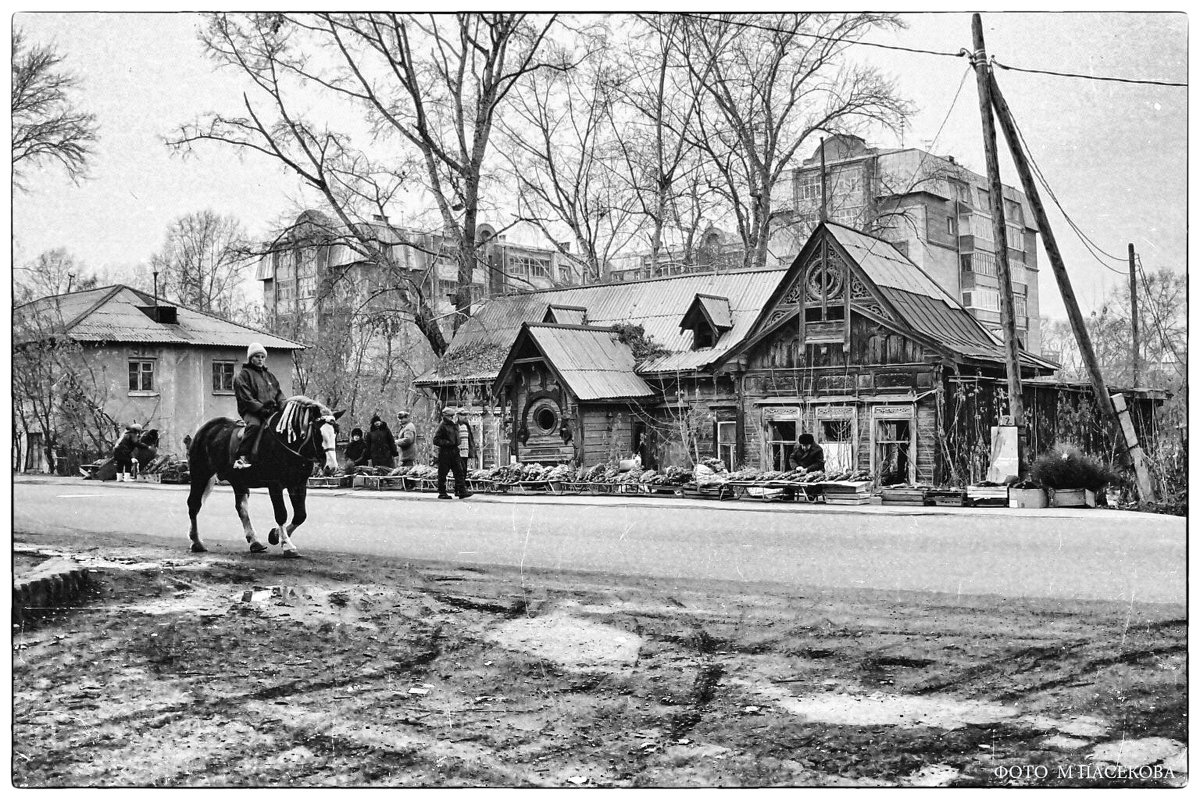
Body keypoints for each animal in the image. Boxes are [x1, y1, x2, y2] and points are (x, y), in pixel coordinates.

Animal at [184, 398, 343, 561]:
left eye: (336, 431)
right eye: (317, 432)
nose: (331, 467)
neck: (287, 444)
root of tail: (205, 430)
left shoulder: (298, 484)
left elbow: (300, 515)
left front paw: (276, 535)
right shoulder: (275, 485)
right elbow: (281, 514)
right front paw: (287, 545)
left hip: (237, 481)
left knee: (241, 508)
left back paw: (254, 542)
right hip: (200, 474)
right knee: (194, 504)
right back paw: (196, 541)